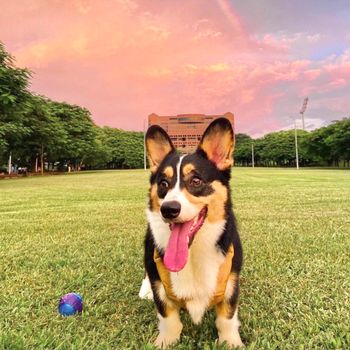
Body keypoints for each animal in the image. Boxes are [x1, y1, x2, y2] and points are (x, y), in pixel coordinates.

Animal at [139, 117, 243, 348]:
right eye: (163, 183)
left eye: (195, 181)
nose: (168, 209)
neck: (192, 252)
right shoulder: (160, 286)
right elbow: (167, 317)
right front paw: (165, 341)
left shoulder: (231, 283)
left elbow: (227, 317)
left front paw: (231, 342)